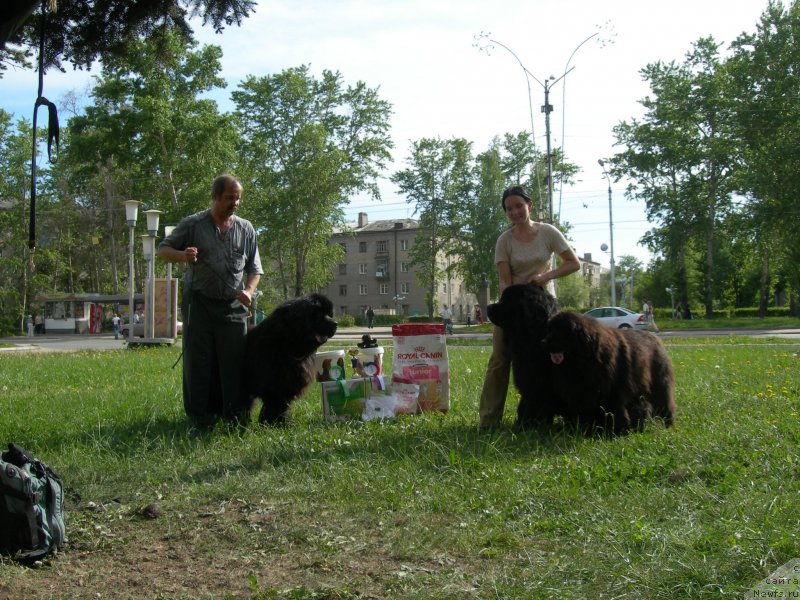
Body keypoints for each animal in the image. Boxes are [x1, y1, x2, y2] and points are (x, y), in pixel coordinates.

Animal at [241, 292, 334, 424]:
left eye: (329, 314)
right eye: (318, 314)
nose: (335, 323)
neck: (286, 345)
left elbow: (282, 406)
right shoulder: (274, 384)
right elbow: (275, 405)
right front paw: (275, 423)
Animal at [484, 284, 560, 428]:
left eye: (506, 300)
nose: (488, 307)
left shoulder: (534, 381)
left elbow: (532, 404)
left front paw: (528, 426)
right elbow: (524, 405)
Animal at [544, 312, 676, 434]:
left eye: (560, 331)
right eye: (550, 329)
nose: (544, 341)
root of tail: (654, 336)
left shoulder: (613, 390)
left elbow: (615, 409)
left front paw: (616, 431)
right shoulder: (580, 391)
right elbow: (582, 409)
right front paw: (581, 429)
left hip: (659, 382)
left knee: (665, 403)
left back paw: (668, 425)